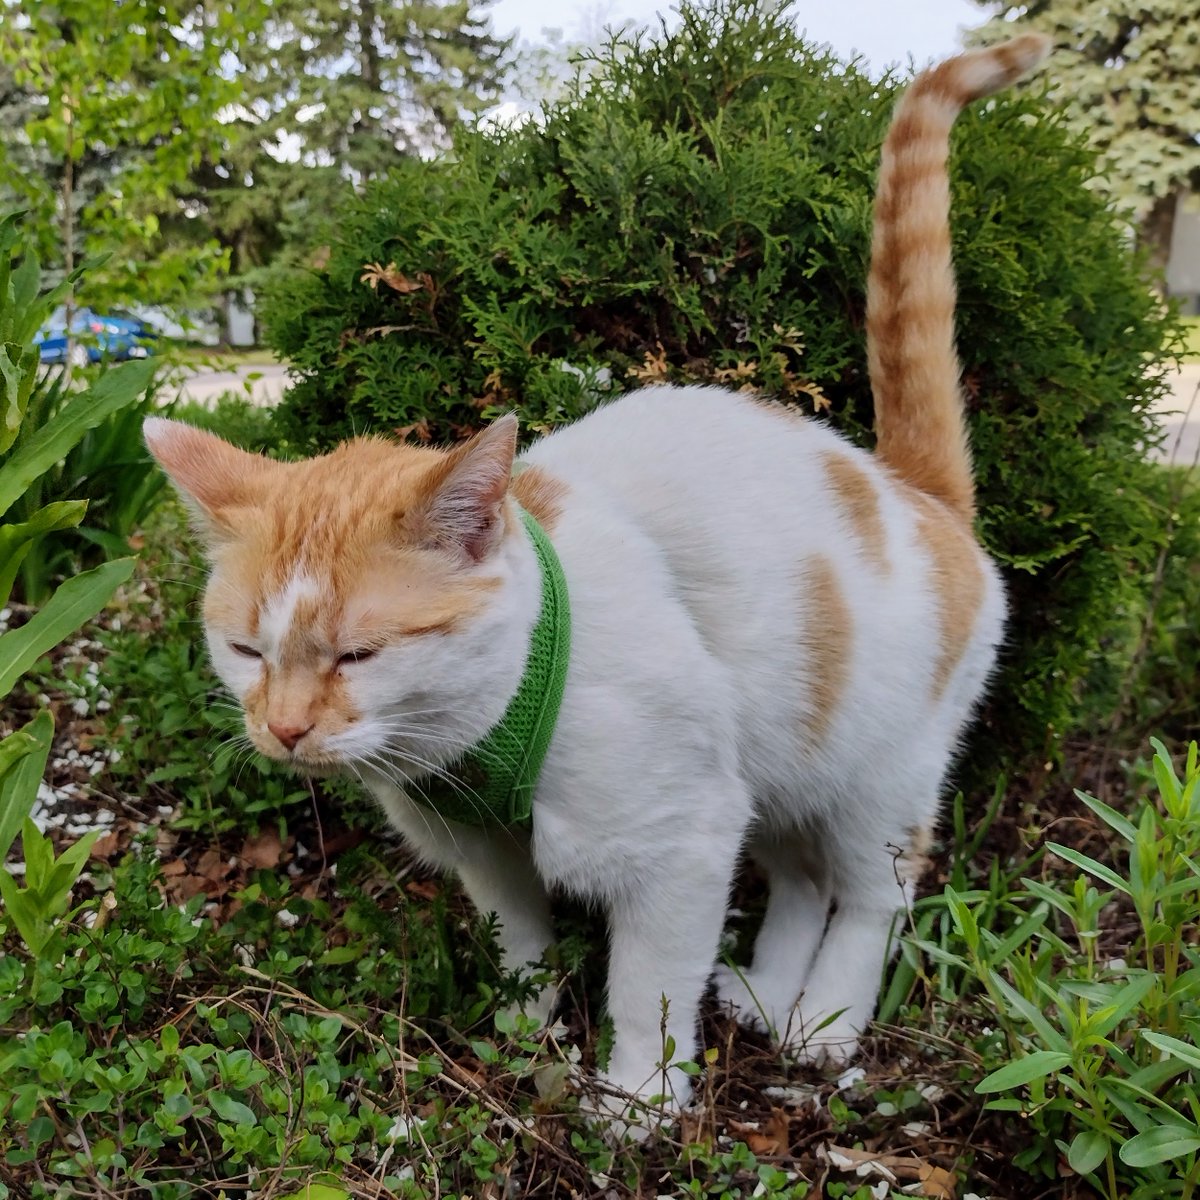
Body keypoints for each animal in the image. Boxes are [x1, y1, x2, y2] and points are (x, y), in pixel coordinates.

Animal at [147, 35, 1051, 1123]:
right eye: (246, 649)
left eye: (358, 653)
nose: (282, 730)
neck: (483, 735)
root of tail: (912, 488)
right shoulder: (495, 850)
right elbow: (521, 940)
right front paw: (520, 1025)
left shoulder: (684, 838)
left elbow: (647, 984)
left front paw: (640, 1100)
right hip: (785, 761)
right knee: (799, 880)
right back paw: (762, 989)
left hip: (882, 776)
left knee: (877, 893)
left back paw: (824, 1020)